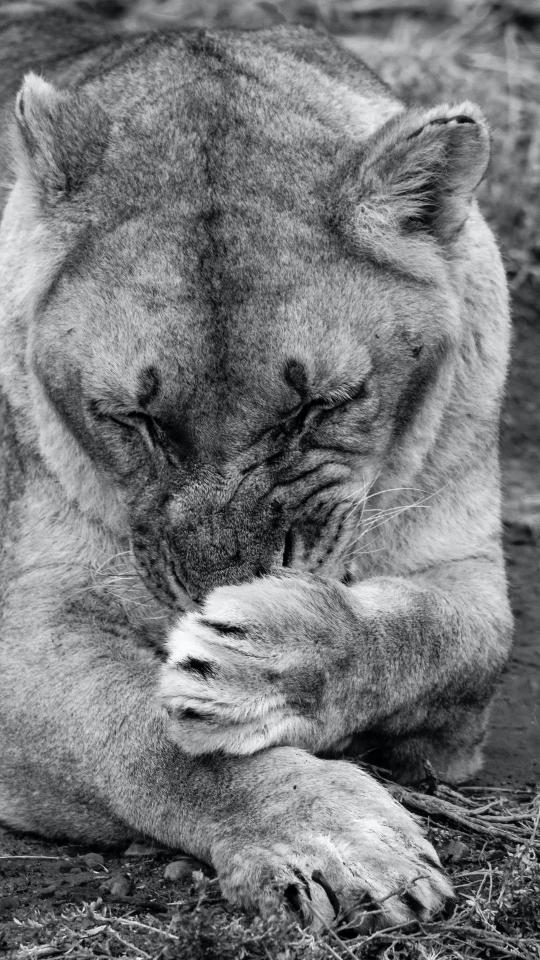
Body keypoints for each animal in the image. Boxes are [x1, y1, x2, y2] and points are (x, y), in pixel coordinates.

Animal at [0, 0, 512, 929]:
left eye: (318, 407)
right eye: (137, 419)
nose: (217, 588)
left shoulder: (468, 576)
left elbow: (424, 638)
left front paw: (266, 656)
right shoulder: (27, 629)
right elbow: (149, 741)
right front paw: (333, 836)